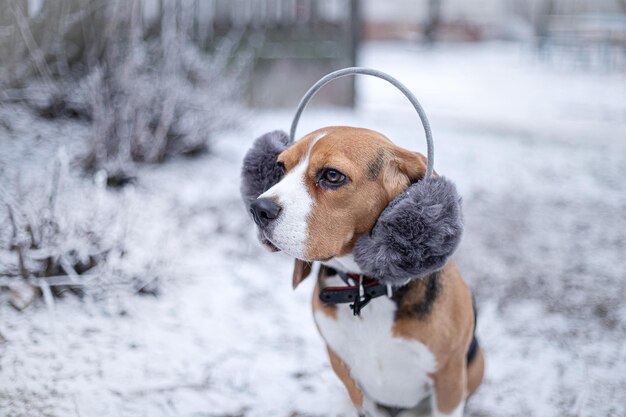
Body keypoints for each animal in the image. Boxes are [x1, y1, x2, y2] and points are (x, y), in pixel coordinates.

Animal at [247, 127, 482, 416]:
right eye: (281, 167)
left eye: (332, 175)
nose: (258, 209)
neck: (365, 288)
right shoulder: (344, 369)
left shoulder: (449, 378)